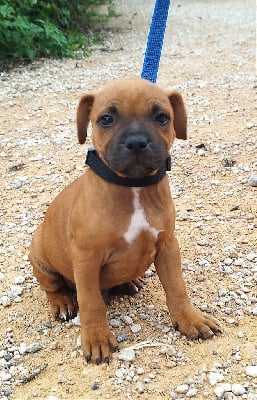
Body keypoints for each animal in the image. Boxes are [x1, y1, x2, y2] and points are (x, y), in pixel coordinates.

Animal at [29, 77, 218, 362]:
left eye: (162, 117)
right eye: (106, 119)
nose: (137, 142)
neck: (133, 186)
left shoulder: (167, 246)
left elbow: (177, 287)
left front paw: (190, 319)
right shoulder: (86, 259)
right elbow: (91, 302)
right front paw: (96, 338)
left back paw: (131, 281)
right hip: (40, 257)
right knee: (53, 287)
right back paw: (62, 301)